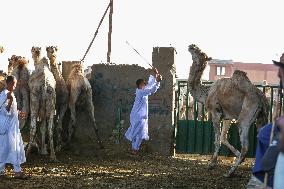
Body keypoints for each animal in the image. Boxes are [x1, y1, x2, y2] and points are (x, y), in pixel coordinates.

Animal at [187, 43, 270, 176]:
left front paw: (212, 164)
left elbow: (217, 139)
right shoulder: (227, 117)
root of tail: (262, 98)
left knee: (245, 146)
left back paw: (230, 172)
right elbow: (223, 137)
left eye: (200, 53)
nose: (192, 45)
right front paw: (237, 156)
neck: (206, 92)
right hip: (262, 117)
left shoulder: (215, 113)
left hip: (245, 117)